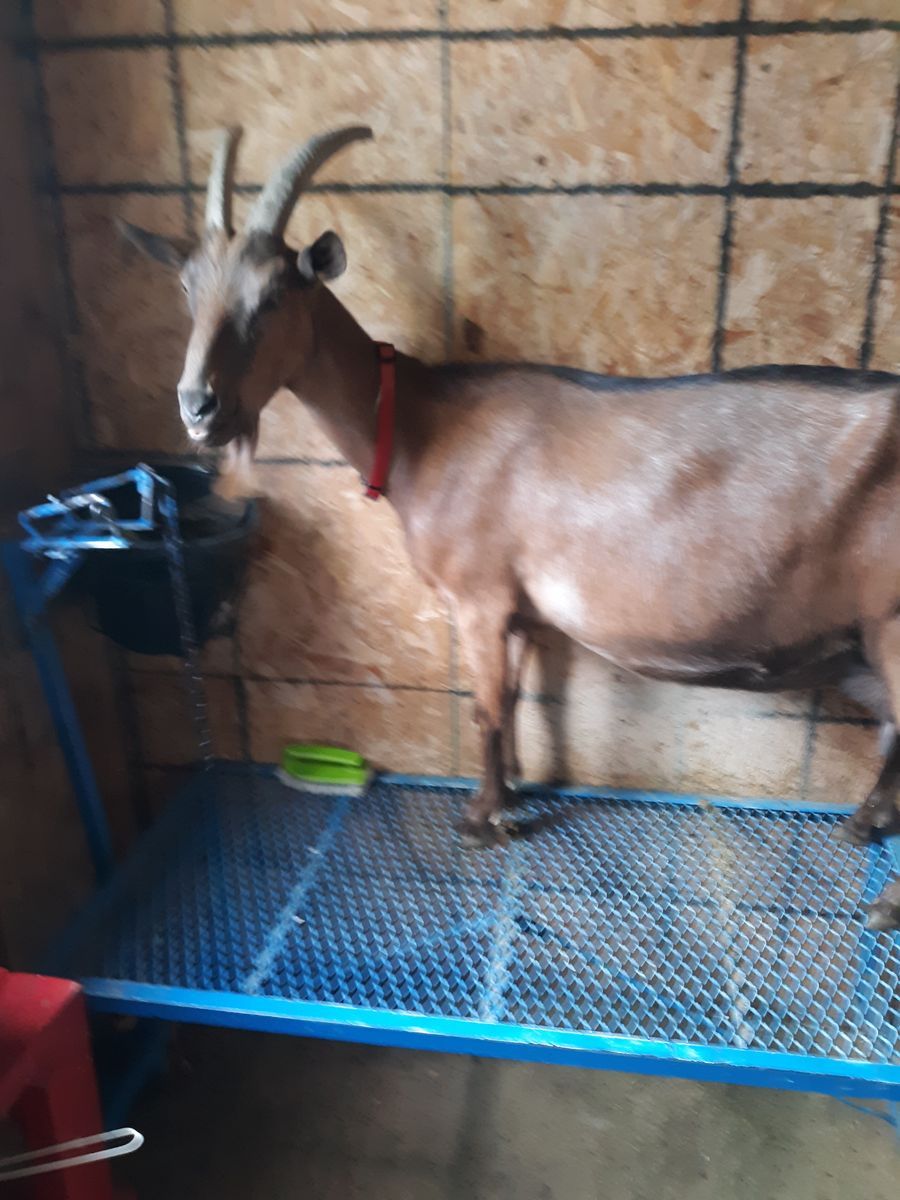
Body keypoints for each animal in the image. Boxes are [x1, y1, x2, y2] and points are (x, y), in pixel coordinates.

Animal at [121, 126, 900, 932]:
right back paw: (863, 824)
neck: (419, 427)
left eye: (274, 295)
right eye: (188, 289)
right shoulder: (520, 611)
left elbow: (487, 709)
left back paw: (884, 905)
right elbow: (519, 700)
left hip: (893, 621)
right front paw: (516, 793)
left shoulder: (480, 596)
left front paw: (478, 820)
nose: (198, 406)